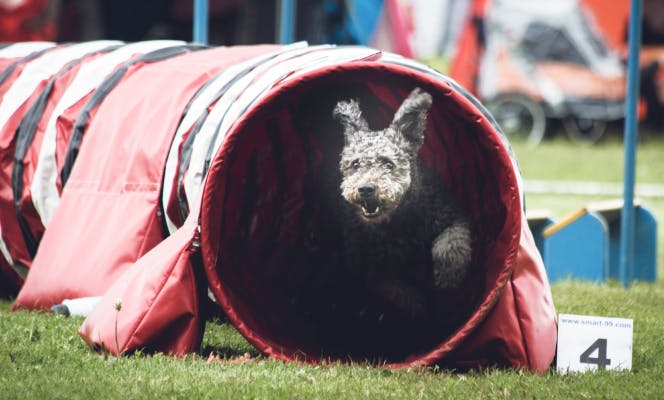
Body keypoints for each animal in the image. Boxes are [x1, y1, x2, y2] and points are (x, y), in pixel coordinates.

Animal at [334, 88, 470, 318]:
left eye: (389, 164)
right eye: (355, 164)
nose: (366, 189)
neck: (397, 221)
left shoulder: (452, 217)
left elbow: (450, 244)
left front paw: (447, 278)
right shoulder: (365, 263)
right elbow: (392, 287)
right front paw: (417, 304)